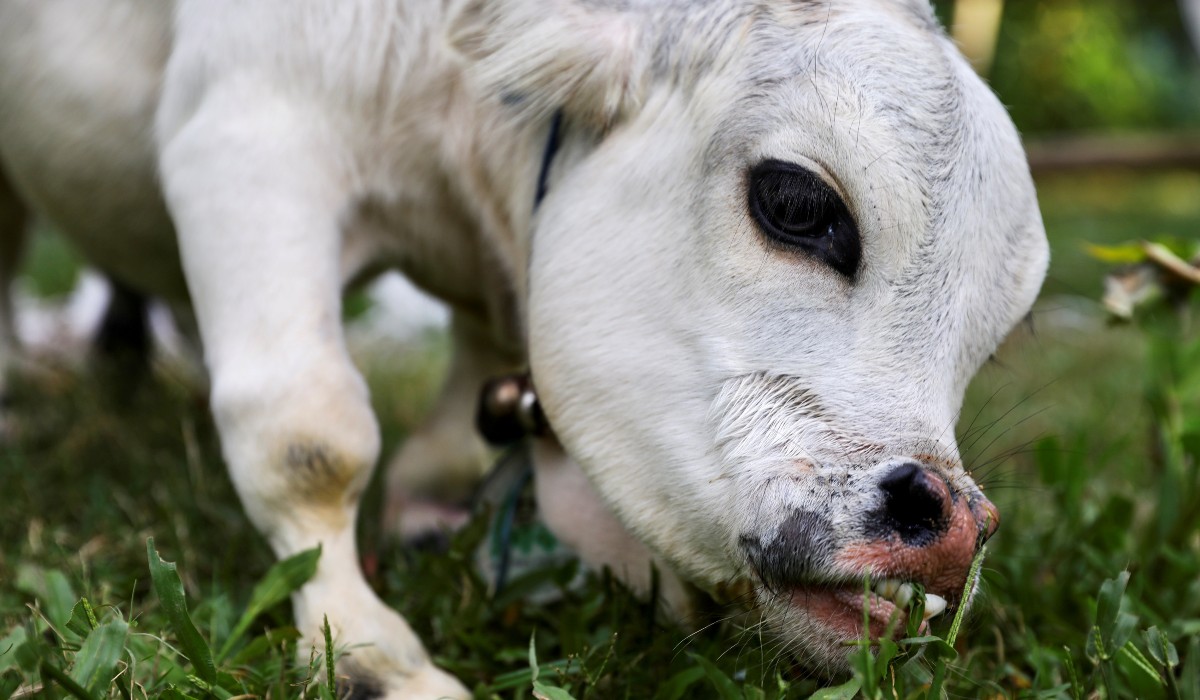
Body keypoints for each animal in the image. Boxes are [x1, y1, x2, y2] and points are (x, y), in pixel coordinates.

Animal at [0, 0, 1048, 696]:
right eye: (795, 201)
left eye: (996, 335)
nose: (953, 529)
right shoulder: (249, 128)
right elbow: (308, 438)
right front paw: (370, 651)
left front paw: (427, 514)